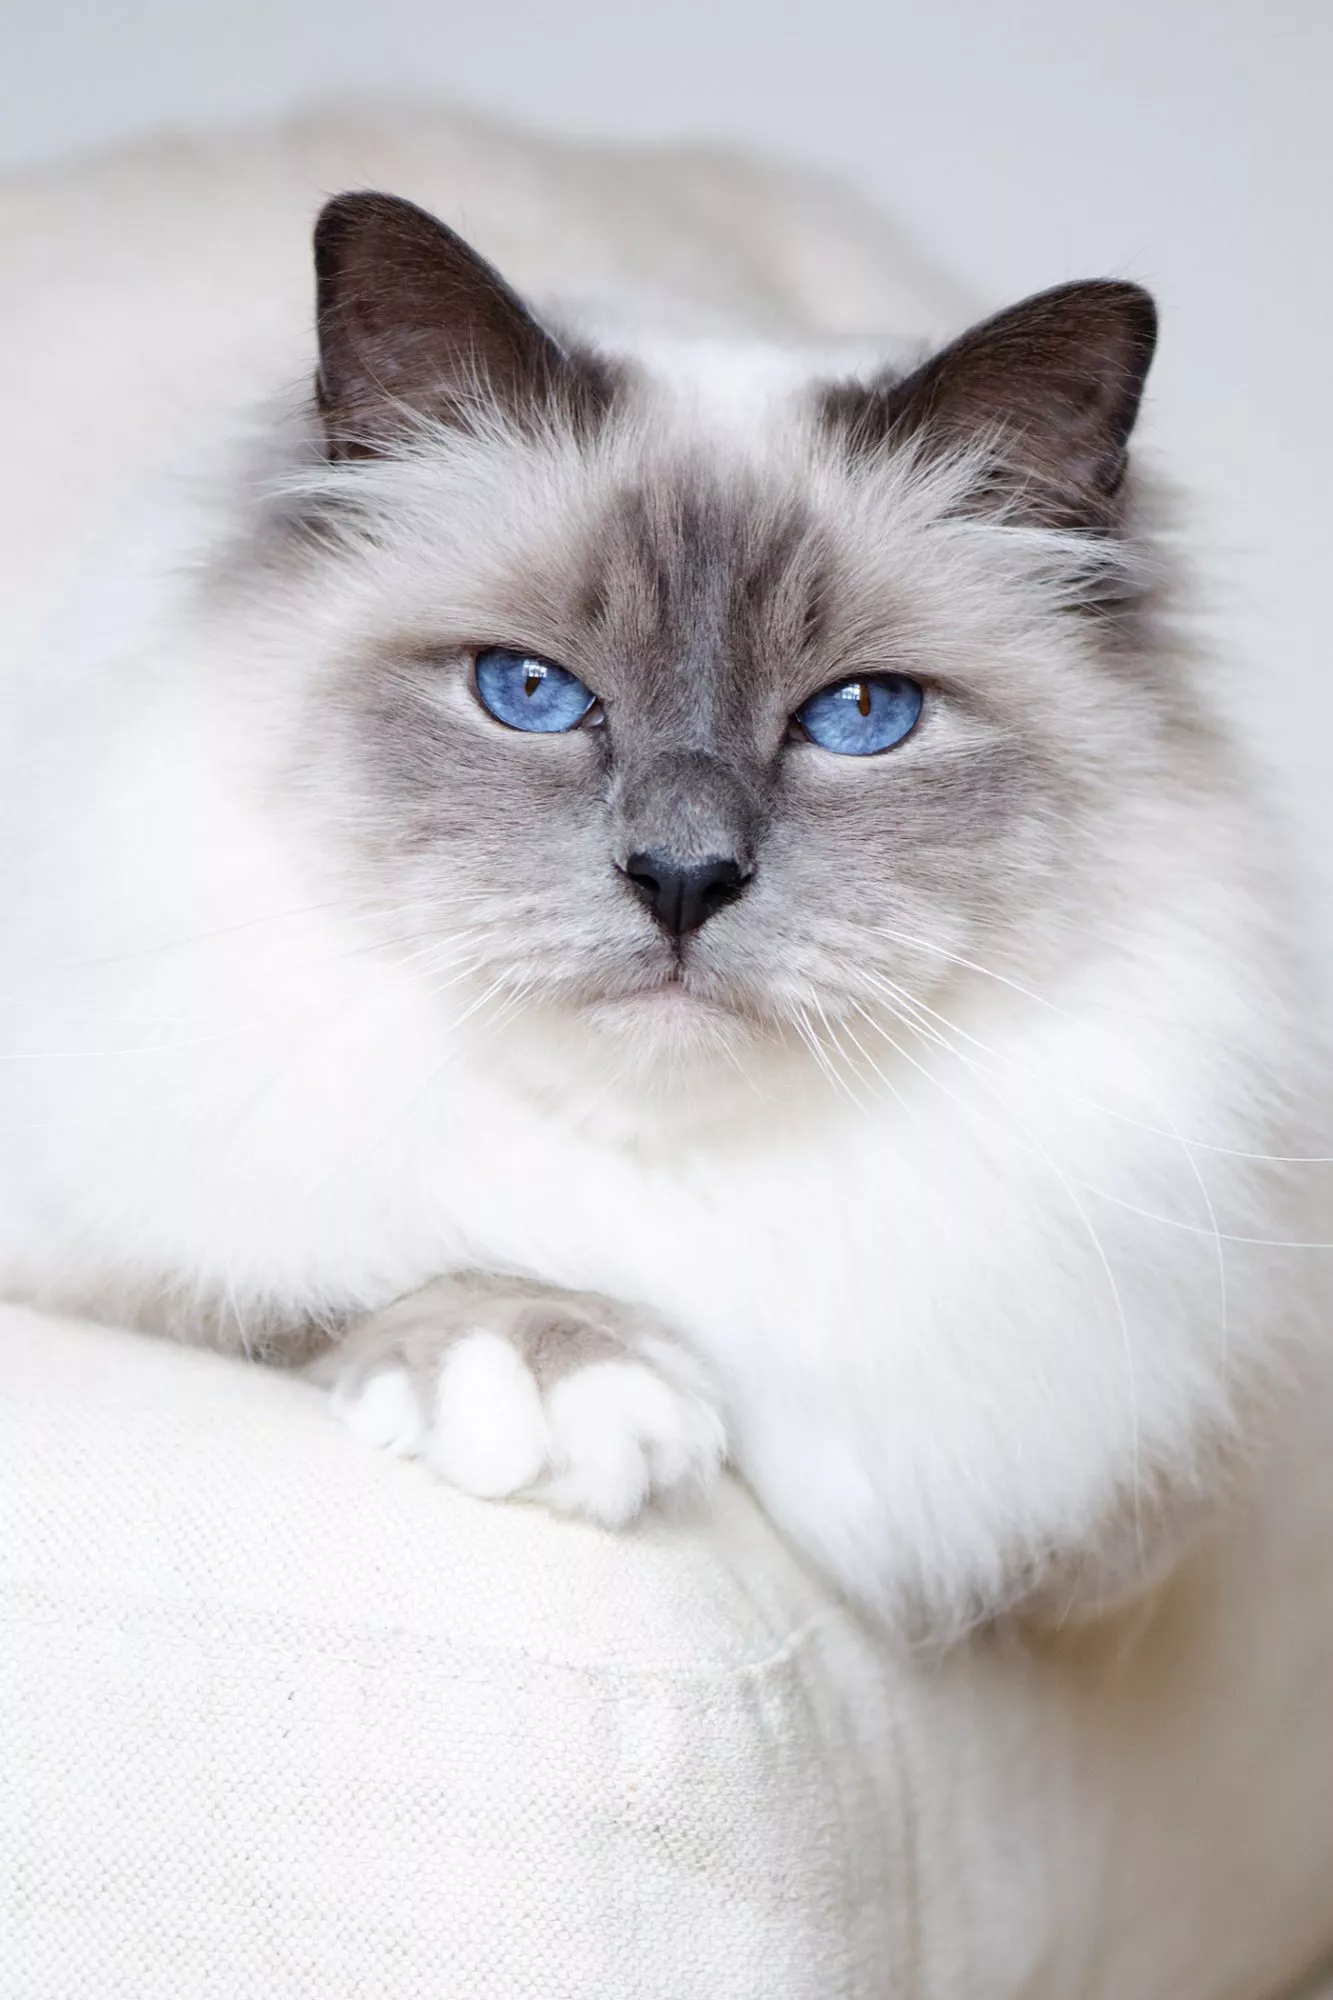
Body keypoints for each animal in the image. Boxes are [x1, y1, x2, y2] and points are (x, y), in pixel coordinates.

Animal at [0, 109, 1320, 1632]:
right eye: (527, 693)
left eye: (860, 716)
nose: (683, 877)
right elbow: (300, 1276)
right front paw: (560, 1384)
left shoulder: (1122, 1485)